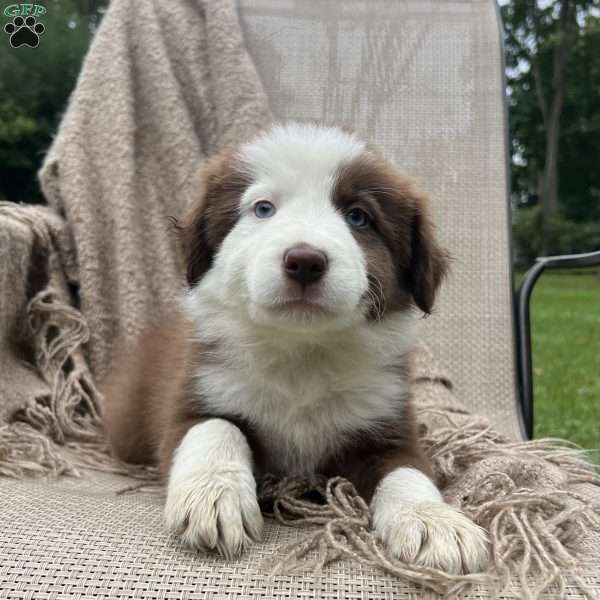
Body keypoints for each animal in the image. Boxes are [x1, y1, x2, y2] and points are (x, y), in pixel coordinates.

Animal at [103, 120, 488, 572]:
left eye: (359, 217)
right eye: (263, 209)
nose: (305, 261)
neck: (302, 353)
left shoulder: (387, 425)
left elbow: (407, 473)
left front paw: (435, 522)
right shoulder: (195, 397)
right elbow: (216, 428)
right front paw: (214, 498)